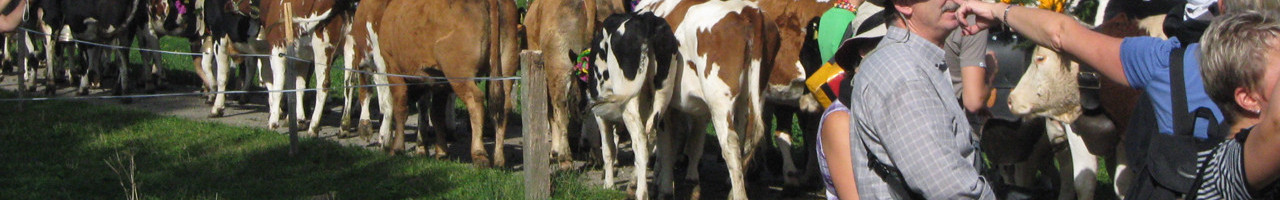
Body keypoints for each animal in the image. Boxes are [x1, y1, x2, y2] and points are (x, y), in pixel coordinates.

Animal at [345, 0, 519, 166]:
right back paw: (499, 157)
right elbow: (435, 114)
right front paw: (441, 152)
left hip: (459, 73)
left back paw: (479, 154)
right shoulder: (438, 80)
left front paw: (397, 148)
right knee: (503, 106)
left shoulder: (393, 68)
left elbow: (400, 108)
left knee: (475, 100)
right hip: (506, 65)